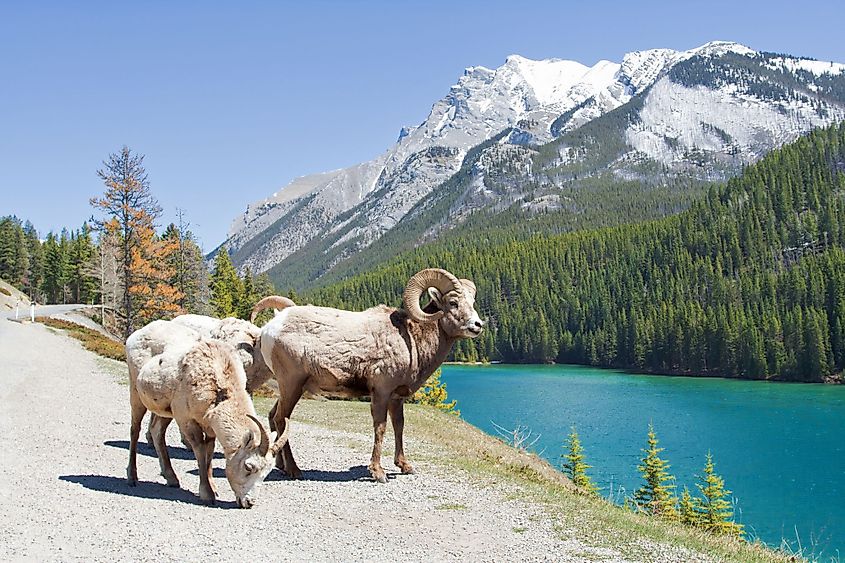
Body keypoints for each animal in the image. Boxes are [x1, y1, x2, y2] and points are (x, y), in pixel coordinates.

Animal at [123, 324, 286, 508]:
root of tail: (137, 334)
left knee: (157, 431)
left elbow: (209, 452)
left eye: (266, 473)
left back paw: (171, 479)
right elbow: (200, 451)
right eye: (248, 467)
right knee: (135, 430)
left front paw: (213, 488)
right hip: (136, 394)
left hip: (165, 411)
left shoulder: (209, 426)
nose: (249, 502)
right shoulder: (187, 420)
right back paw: (132, 477)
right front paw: (207, 494)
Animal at [252, 268, 482, 484]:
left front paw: (405, 466)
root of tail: (269, 329)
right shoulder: (380, 392)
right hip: (292, 385)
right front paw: (378, 473)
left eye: (471, 302)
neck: (411, 340)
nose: (477, 325)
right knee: (281, 419)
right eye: (453, 302)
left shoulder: (396, 398)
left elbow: (399, 426)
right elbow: (380, 428)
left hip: (289, 389)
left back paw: (281, 465)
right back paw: (294, 470)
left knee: (273, 416)